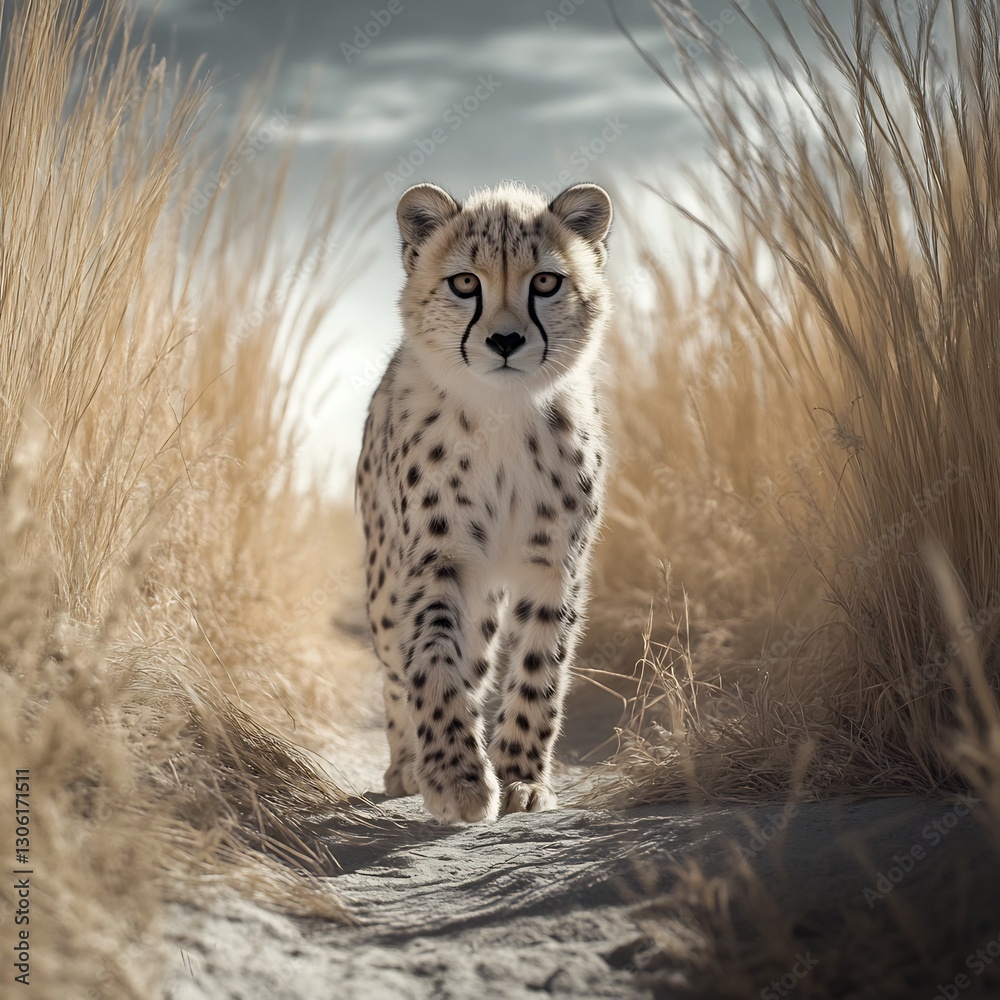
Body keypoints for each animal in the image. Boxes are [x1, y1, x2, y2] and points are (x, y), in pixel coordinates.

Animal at [355, 179, 612, 823]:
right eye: (465, 283)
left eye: (545, 282)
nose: (504, 340)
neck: (503, 411)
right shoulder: (437, 558)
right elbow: (431, 659)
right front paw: (456, 777)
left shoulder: (554, 564)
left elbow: (540, 667)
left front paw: (520, 776)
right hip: (384, 584)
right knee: (399, 666)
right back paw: (407, 765)